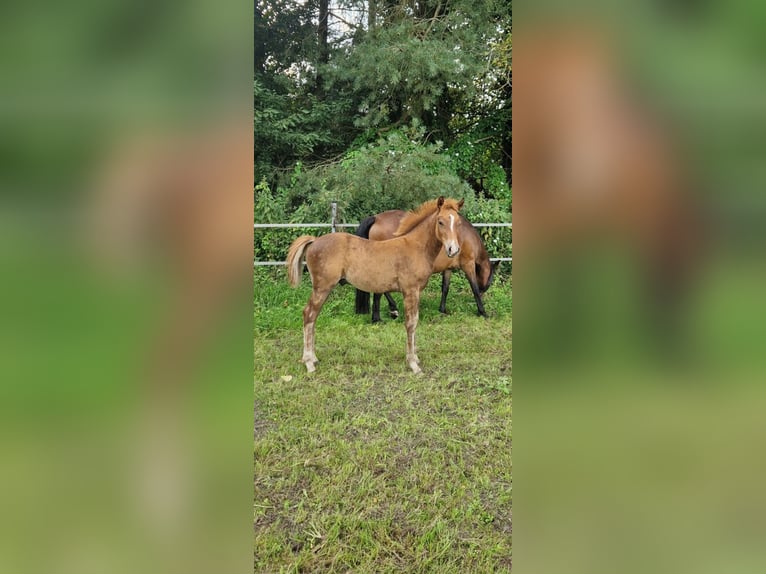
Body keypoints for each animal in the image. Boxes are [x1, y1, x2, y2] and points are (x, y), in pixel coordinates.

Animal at [288, 200, 464, 376]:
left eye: (458, 222)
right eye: (440, 222)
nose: (453, 249)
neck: (416, 247)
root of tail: (314, 241)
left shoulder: (416, 292)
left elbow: (414, 322)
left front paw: (415, 357)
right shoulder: (410, 291)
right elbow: (411, 323)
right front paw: (413, 364)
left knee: (313, 318)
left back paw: (313, 358)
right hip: (322, 288)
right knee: (309, 315)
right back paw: (309, 362)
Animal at [354, 212, 498, 322]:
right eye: (489, 283)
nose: (483, 295)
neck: (466, 235)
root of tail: (376, 218)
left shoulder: (448, 268)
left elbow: (445, 288)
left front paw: (442, 310)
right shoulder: (468, 264)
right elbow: (474, 288)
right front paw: (482, 312)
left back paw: (392, 308)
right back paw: (382, 315)